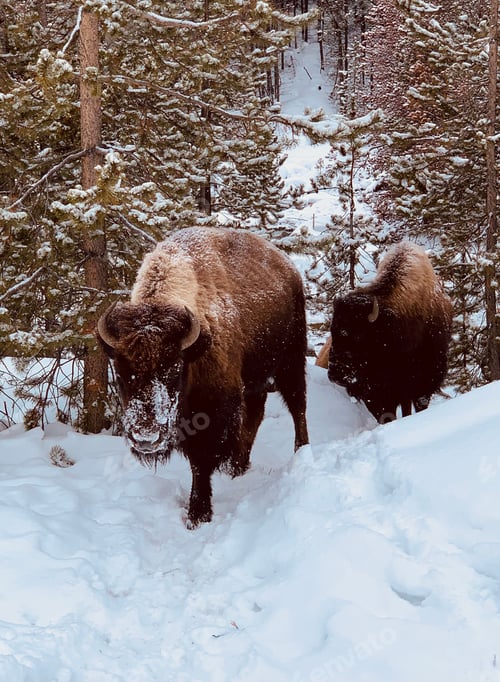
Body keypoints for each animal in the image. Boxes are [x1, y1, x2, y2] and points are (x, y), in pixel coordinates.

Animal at [97, 227, 309, 527]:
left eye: (174, 368)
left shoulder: (213, 414)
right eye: (121, 371)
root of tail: (289, 268)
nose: (146, 438)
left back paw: (301, 450)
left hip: (291, 359)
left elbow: (201, 462)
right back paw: (237, 468)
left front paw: (198, 514)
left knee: (297, 405)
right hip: (255, 380)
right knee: (256, 414)